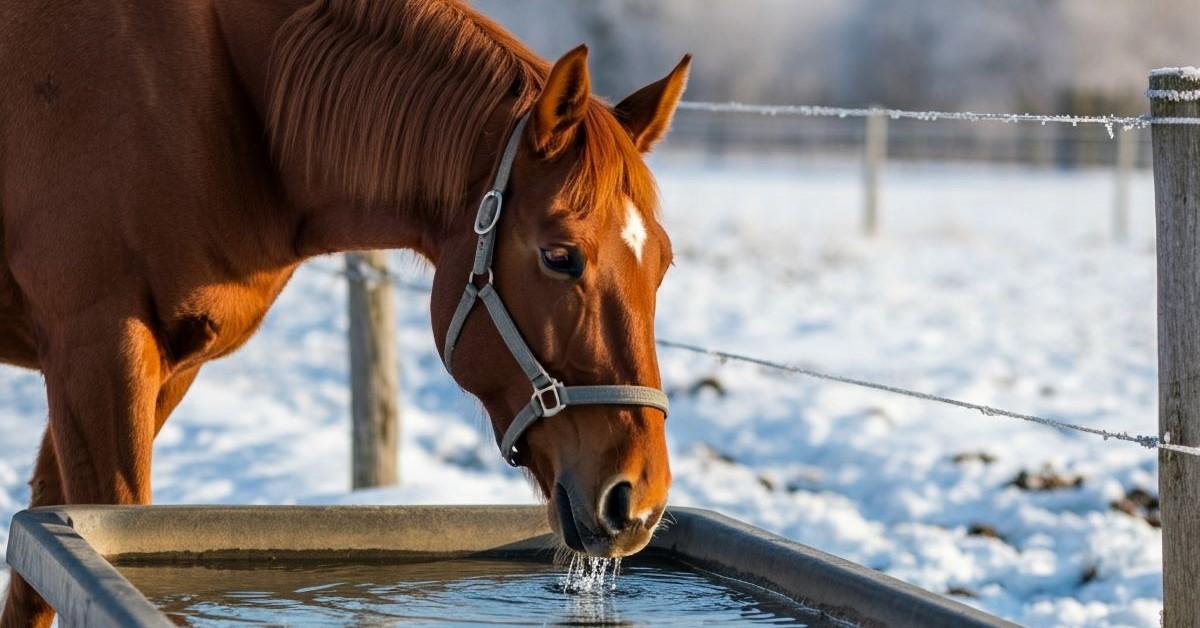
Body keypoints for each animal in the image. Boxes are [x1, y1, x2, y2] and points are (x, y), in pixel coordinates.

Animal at [0, 0, 690, 625]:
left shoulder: (168, 367)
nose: (638, 501)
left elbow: (36, 571)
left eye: (664, 263)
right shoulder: (97, 352)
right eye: (559, 256)